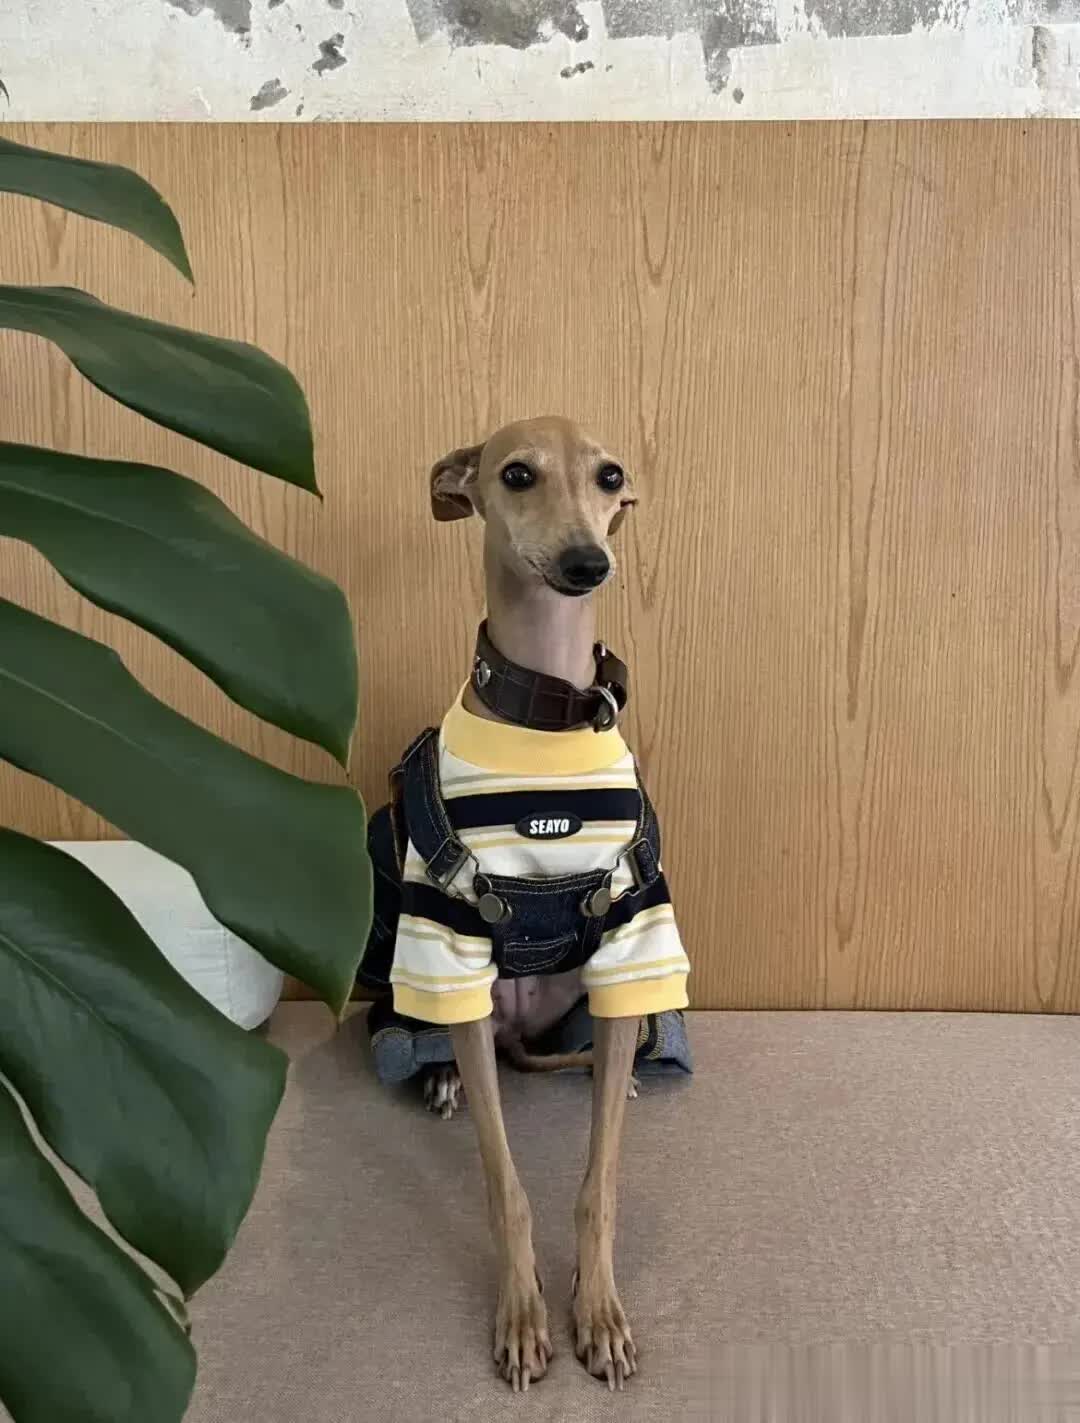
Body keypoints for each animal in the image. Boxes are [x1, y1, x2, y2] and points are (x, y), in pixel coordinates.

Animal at [362, 416, 691, 1392]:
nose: (588, 562)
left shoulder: (633, 938)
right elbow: (506, 1183)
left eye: (609, 476)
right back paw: (435, 1075)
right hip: (410, 967)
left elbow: (598, 1181)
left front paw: (601, 1312)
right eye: (516, 474)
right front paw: (521, 1314)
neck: (544, 715)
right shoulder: (450, 944)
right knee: (415, 1037)